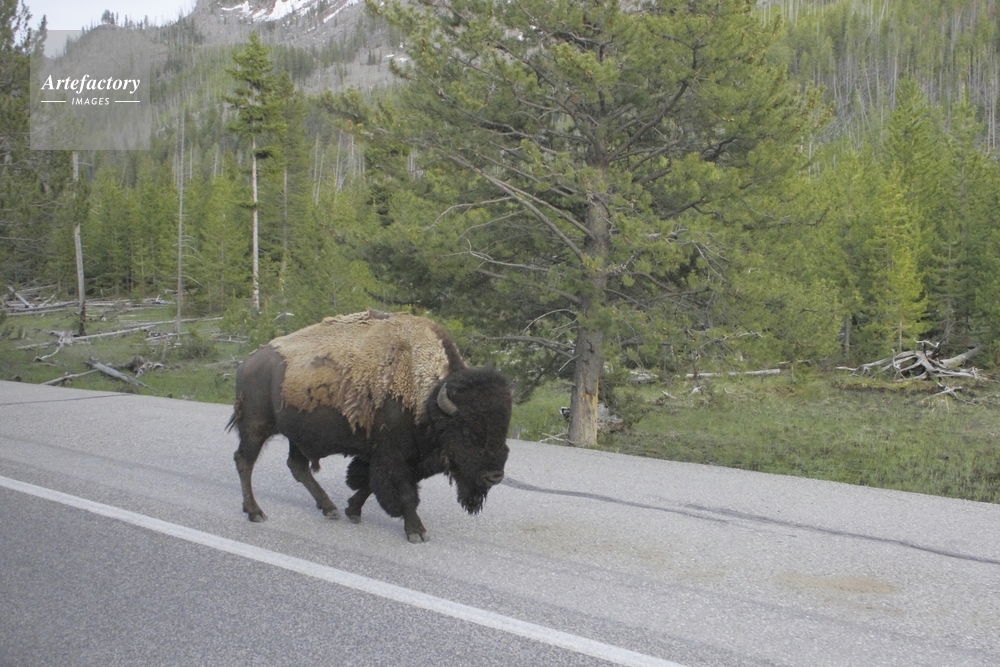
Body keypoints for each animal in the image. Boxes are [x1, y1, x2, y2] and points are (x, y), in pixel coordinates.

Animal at [226, 310, 512, 543]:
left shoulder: (401, 458)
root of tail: (247, 362)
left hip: (298, 435)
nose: (495, 476)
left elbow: (369, 485)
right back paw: (255, 512)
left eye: (503, 429)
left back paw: (329, 508)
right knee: (244, 461)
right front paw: (417, 532)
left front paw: (352, 511)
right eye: (467, 432)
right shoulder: (393, 457)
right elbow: (405, 492)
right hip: (255, 427)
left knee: (298, 467)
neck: (428, 399)